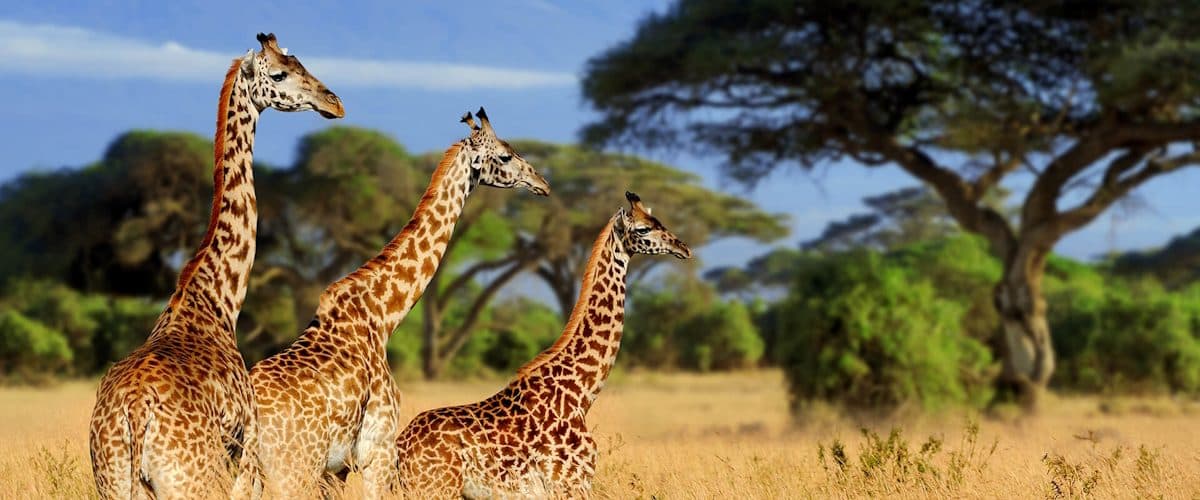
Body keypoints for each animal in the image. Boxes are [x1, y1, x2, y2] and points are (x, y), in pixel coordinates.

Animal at [88, 33, 344, 500]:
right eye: (278, 74)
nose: (334, 103)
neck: (218, 298)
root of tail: (135, 412)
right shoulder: (247, 451)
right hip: (194, 480)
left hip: (113, 479)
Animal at [245, 108, 550, 498]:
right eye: (506, 155)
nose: (542, 182)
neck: (383, 315)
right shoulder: (377, 451)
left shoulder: (337, 468)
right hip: (294, 468)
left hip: (250, 470)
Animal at [395, 191, 692, 498]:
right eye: (643, 229)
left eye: (659, 221)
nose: (682, 247)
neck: (581, 394)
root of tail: (399, 450)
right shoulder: (570, 483)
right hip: (435, 489)